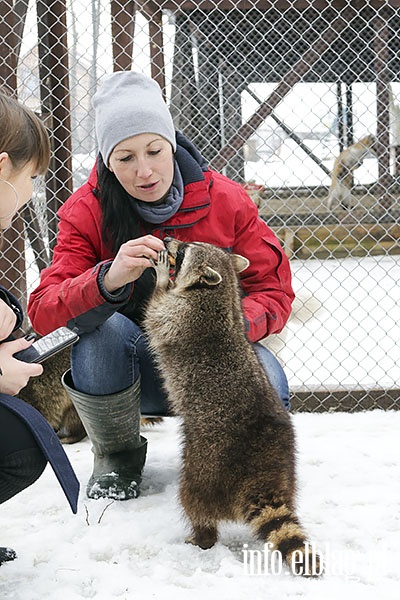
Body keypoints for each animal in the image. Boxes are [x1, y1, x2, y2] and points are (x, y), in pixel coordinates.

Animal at [144, 239, 322, 576]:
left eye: (184, 250)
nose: (169, 240)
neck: (222, 290)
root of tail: (263, 472)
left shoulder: (183, 316)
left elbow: (155, 313)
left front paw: (160, 278)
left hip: (204, 467)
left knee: (194, 502)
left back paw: (201, 536)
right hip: (287, 465)